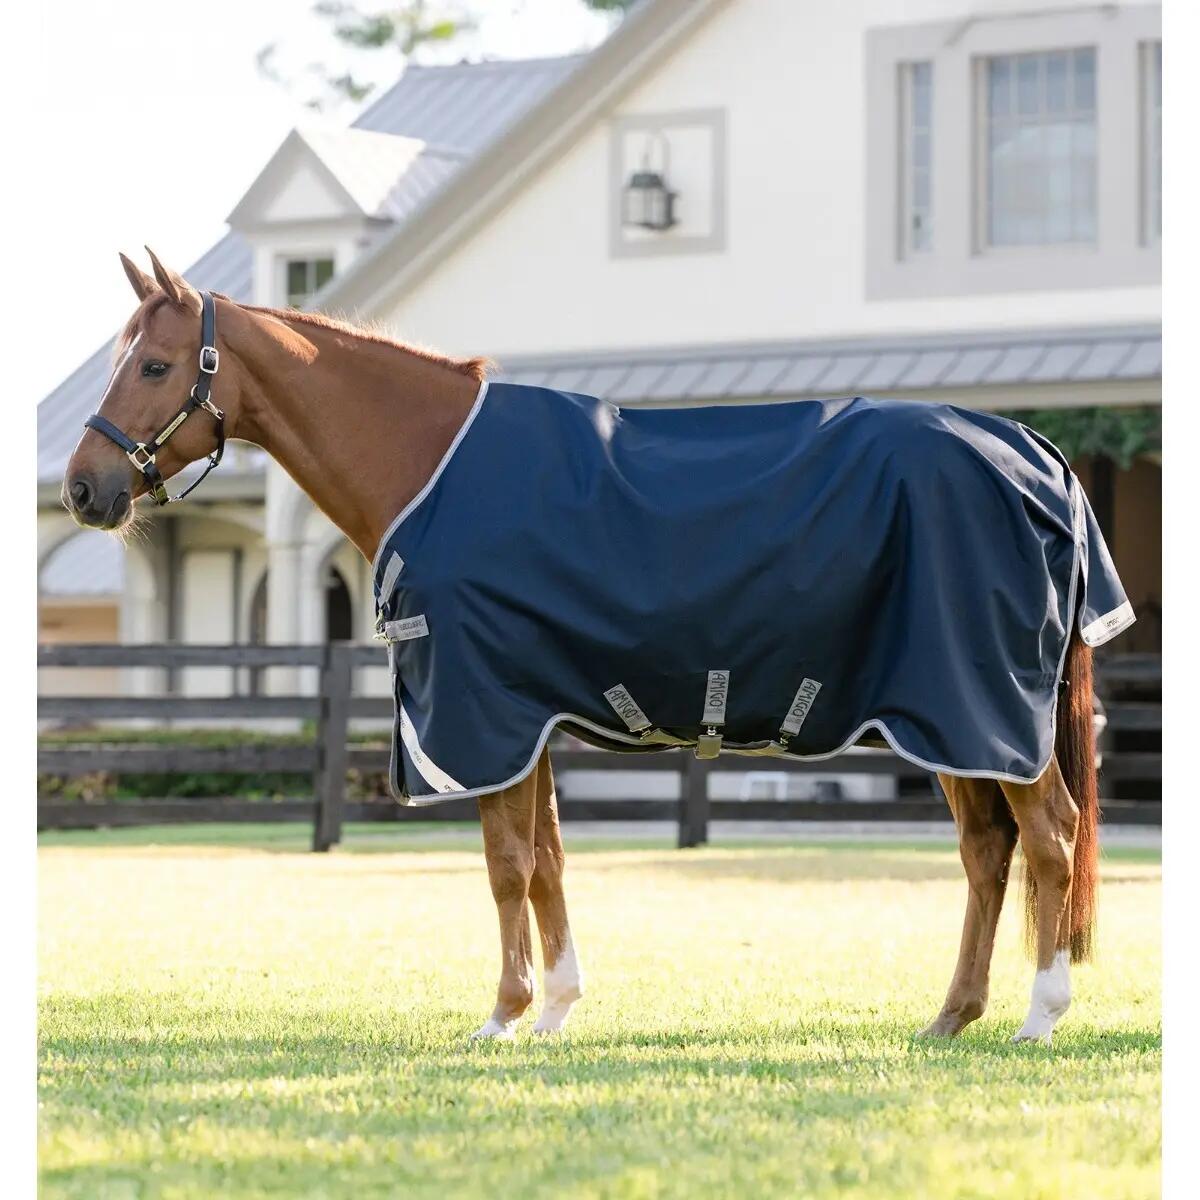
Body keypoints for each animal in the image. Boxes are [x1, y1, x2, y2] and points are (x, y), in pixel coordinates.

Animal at [62, 249, 1112, 1044]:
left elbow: (505, 863)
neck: (430, 462)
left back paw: (1039, 1017)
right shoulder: (529, 716)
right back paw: (953, 1016)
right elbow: (548, 859)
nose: (81, 488)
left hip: (980, 709)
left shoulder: (484, 712)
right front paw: (557, 1009)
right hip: (951, 721)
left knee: (1049, 837)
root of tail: (1037, 456)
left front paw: (503, 1015)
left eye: (153, 366)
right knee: (987, 851)